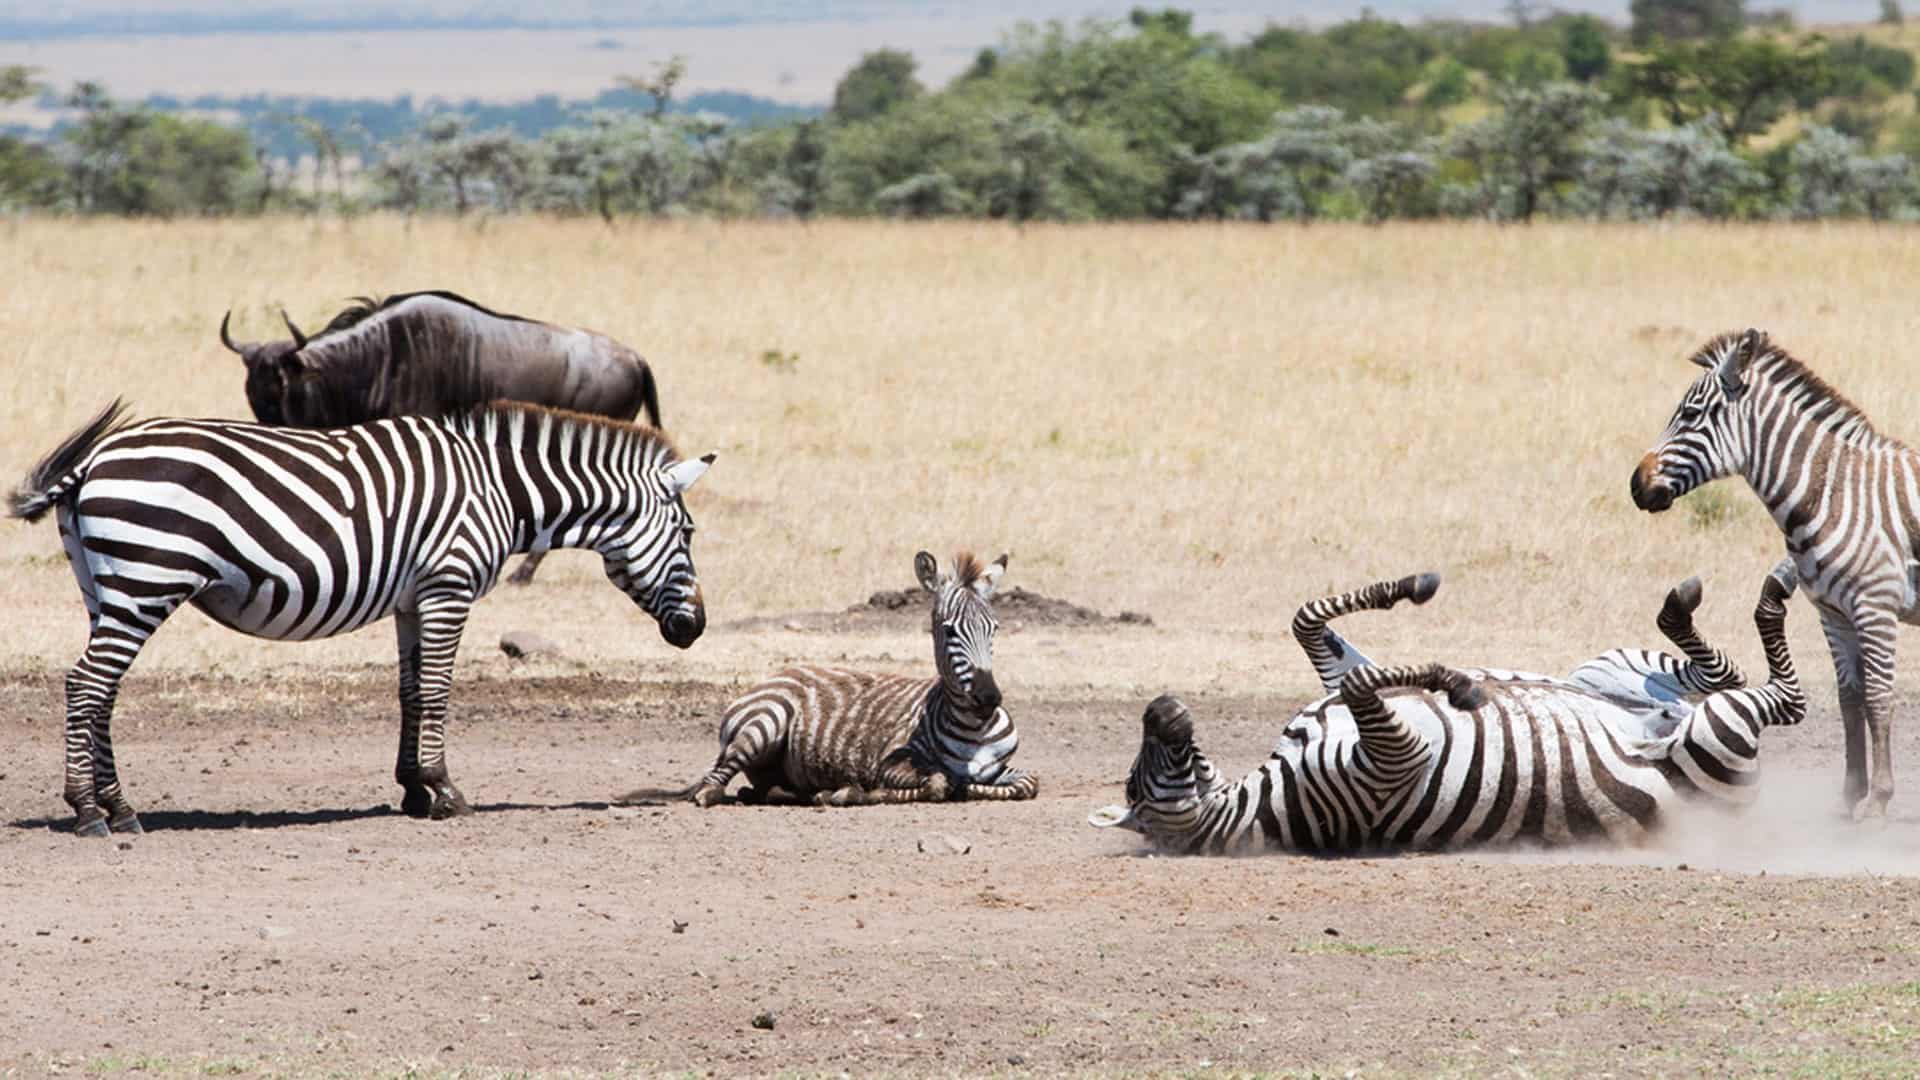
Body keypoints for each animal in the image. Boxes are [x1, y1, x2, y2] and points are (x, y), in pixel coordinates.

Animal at [8, 398, 713, 837]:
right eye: (687, 531)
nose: (696, 629)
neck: (501, 490)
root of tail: (93, 460)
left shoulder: (412, 596)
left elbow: (411, 691)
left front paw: (413, 791)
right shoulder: (449, 585)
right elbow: (438, 689)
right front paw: (445, 792)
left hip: (105, 588)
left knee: (102, 691)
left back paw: (119, 808)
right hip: (146, 581)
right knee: (87, 685)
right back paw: (92, 811)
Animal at [620, 551, 1037, 808]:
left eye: (994, 628)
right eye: (950, 631)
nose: (988, 698)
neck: (973, 730)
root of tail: (776, 673)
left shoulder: (1004, 768)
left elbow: (1027, 783)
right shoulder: (890, 763)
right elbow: (936, 783)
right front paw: (862, 793)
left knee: (763, 790)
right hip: (765, 723)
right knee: (710, 787)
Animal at [1089, 564, 1805, 854]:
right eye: (1132, 785)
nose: (1160, 704)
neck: (1262, 803)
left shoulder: (1348, 702)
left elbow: (1310, 623)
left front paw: (1414, 588)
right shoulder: (1393, 761)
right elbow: (1364, 681)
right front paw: (1455, 682)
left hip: (1608, 668)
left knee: (1718, 674)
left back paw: (1691, 606)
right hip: (1714, 737)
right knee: (1781, 699)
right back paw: (1773, 591)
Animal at [1631, 329, 1920, 820]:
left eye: (1689, 414)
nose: (1636, 485)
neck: (1831, 492)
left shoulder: (1875, 606)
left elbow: (1879, 700)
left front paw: (1878, 801)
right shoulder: (1832, 612)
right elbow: (1850, 701)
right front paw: (1850, 795)